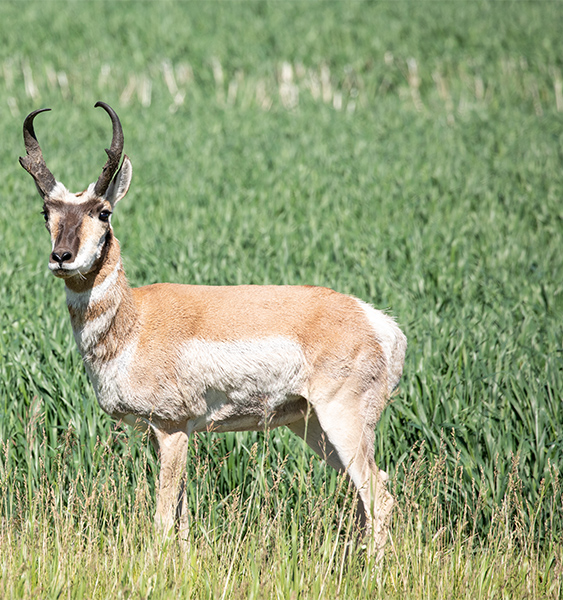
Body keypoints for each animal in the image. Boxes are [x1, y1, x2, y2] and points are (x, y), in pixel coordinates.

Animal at [22, 103, 408, 556]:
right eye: (47, 212)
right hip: (310, 425)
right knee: (368, 492)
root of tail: (377, 322)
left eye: (104, 212)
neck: (136, 322)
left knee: (380, 494)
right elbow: (184, 518)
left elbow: (163, 518)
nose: (62, 256)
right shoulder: (165, 435)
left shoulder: (171, 428)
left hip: (342, 419)